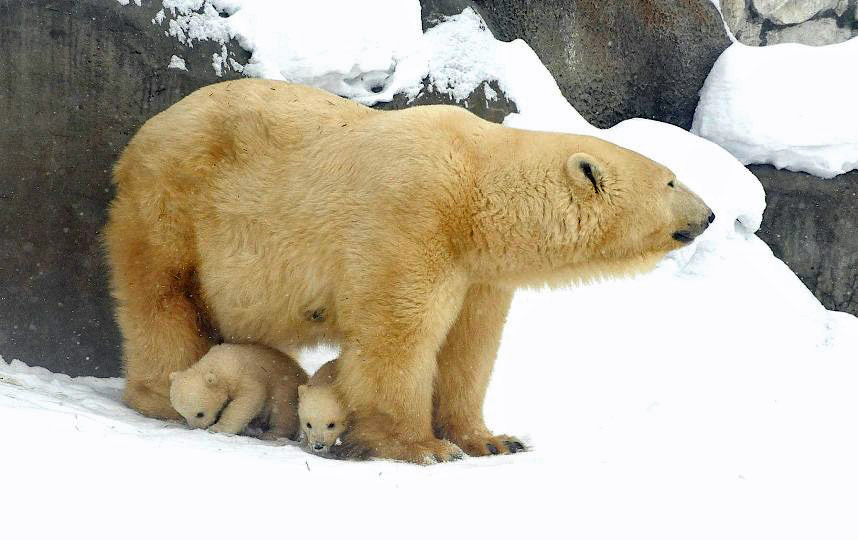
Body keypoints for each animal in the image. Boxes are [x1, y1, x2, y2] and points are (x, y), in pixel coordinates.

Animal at [105, 78, 708, 462]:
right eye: (672, 180)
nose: (709, 215)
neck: (474, 189)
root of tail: (138, 142)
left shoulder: (478, 271)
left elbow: (469, 348)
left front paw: (491, 440)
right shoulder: (410, 221)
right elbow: (398, 335)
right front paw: (422, 447)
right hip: (173, 206)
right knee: (161, 296)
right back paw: (165, 396)